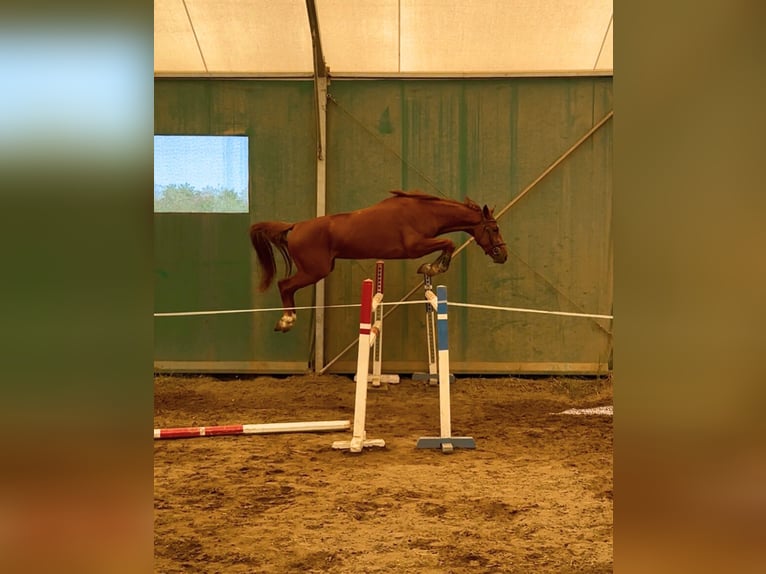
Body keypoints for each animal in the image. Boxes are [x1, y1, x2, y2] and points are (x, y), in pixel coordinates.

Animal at [249, 190, 508, 332]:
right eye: (494, 228)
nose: (503, 255)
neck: (425, 211)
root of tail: (295, 226)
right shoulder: (415, 246)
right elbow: (449, 243)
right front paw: (433, 267)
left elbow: (447, 244)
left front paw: (430, 267)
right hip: (314, 271)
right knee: (284, 285)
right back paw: (286, 321)